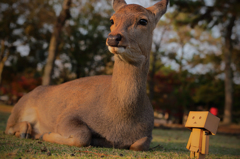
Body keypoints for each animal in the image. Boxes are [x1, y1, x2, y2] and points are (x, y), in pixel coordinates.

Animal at [4, 0, 168, 151]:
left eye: (143, 20)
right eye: (112, 20)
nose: (113, 38)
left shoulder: (148, 132)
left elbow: (140, 144)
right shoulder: (66, 116)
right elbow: (83, 136)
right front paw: (45, 134)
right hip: (20, 106)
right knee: (8, 126)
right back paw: (27, 131)